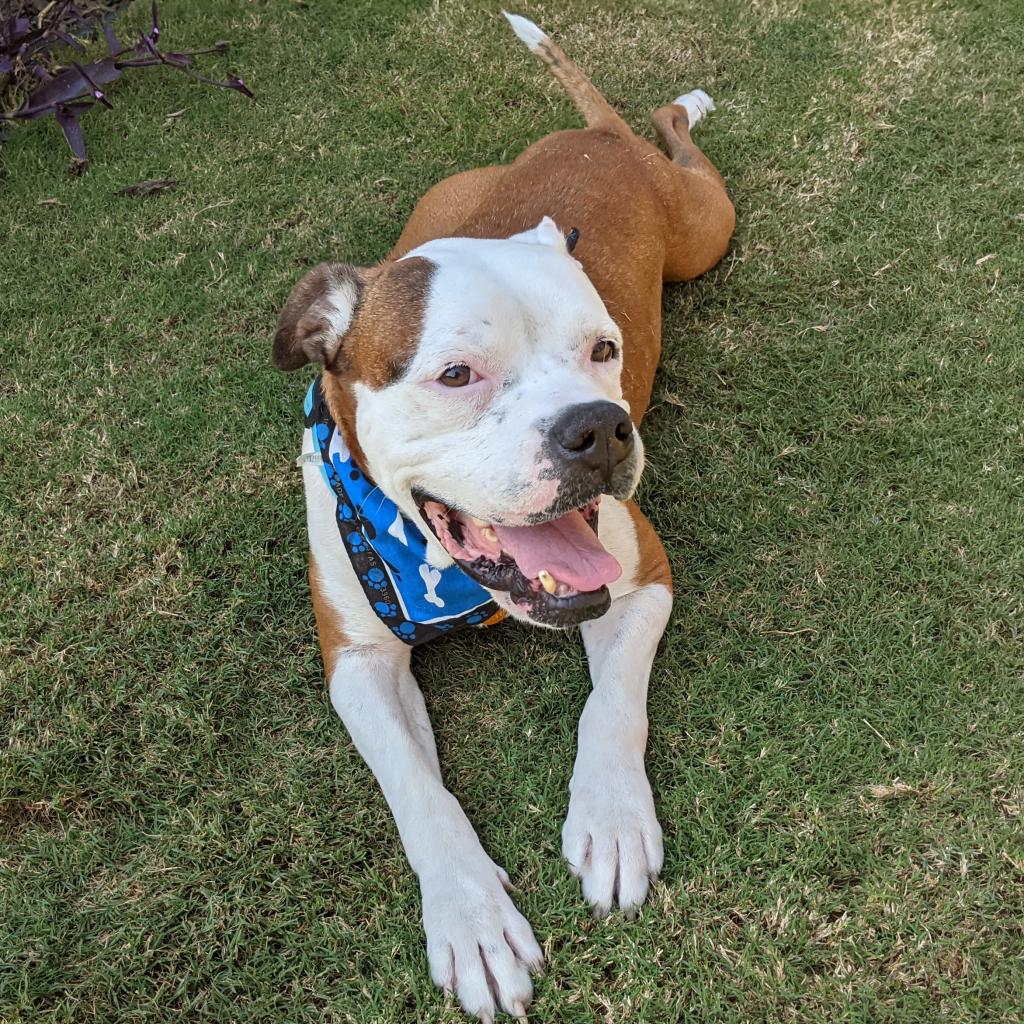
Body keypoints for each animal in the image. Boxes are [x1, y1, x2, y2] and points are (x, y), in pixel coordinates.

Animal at [272, 12, 737, 1019]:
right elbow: (417, 789)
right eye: (456, 374)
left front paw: (611, 821)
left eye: (604, 350)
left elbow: (611, 706)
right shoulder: (356, 662)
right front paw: (472, 919)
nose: (600, 428)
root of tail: (594, 137)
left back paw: (686, 104)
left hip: (704, 227)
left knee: (676, 135)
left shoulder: (642, 574)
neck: (441, 573)